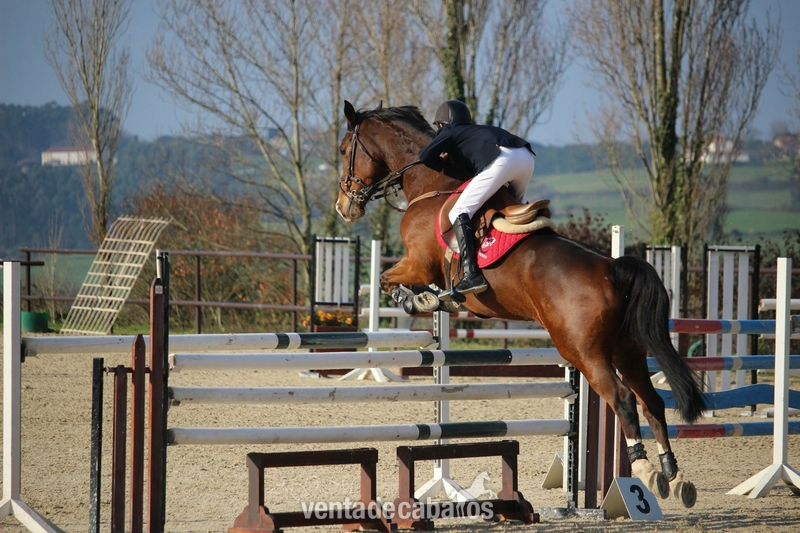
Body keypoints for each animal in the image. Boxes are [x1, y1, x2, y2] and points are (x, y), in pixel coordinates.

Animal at [335, 101, 705, 508]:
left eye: (344, 149)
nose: (343, 207)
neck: (432, 185)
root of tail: (611, 269)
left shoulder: (417, 261)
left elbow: (389, 280)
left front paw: (424, 298)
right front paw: (434, 299)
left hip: (584, 352)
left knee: (623, 398)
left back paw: (643, 471)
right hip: (628, 351)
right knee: (651, 401)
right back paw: (674, 476)